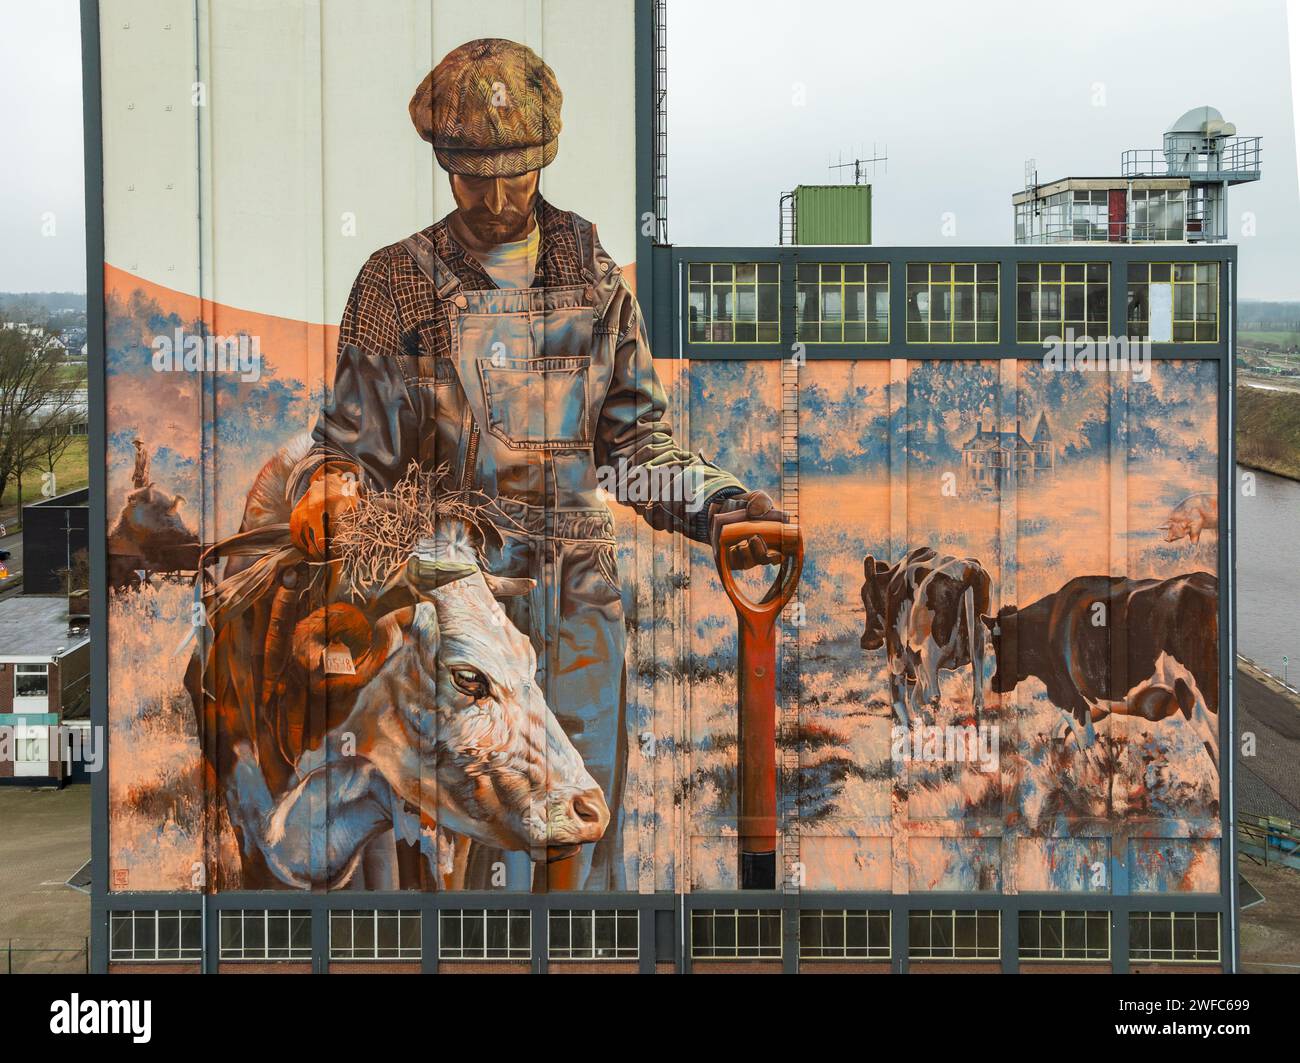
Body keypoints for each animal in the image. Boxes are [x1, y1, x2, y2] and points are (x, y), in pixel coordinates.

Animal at [857, 543, 987, 722]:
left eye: (866, 596)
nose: (867, 641)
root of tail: (965, 570)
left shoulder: (896, 654)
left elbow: (898, 694)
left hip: (926, 656)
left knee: (930, 697)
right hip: (978, 646)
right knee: (977, 698)